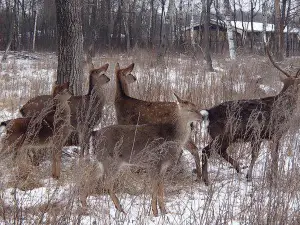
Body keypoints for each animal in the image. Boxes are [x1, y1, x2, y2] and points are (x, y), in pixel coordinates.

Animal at [200, 45, 300, 185]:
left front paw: (250, 176)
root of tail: (208, 113)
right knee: (206, 150)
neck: (284, 108)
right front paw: (272, 178)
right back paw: (207, 180)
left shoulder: (258, 136)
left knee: (219, 151)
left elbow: (257, 155)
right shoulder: (274, 133)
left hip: (225, 136)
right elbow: (272, 157)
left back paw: (236, 167)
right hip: (223, 134)